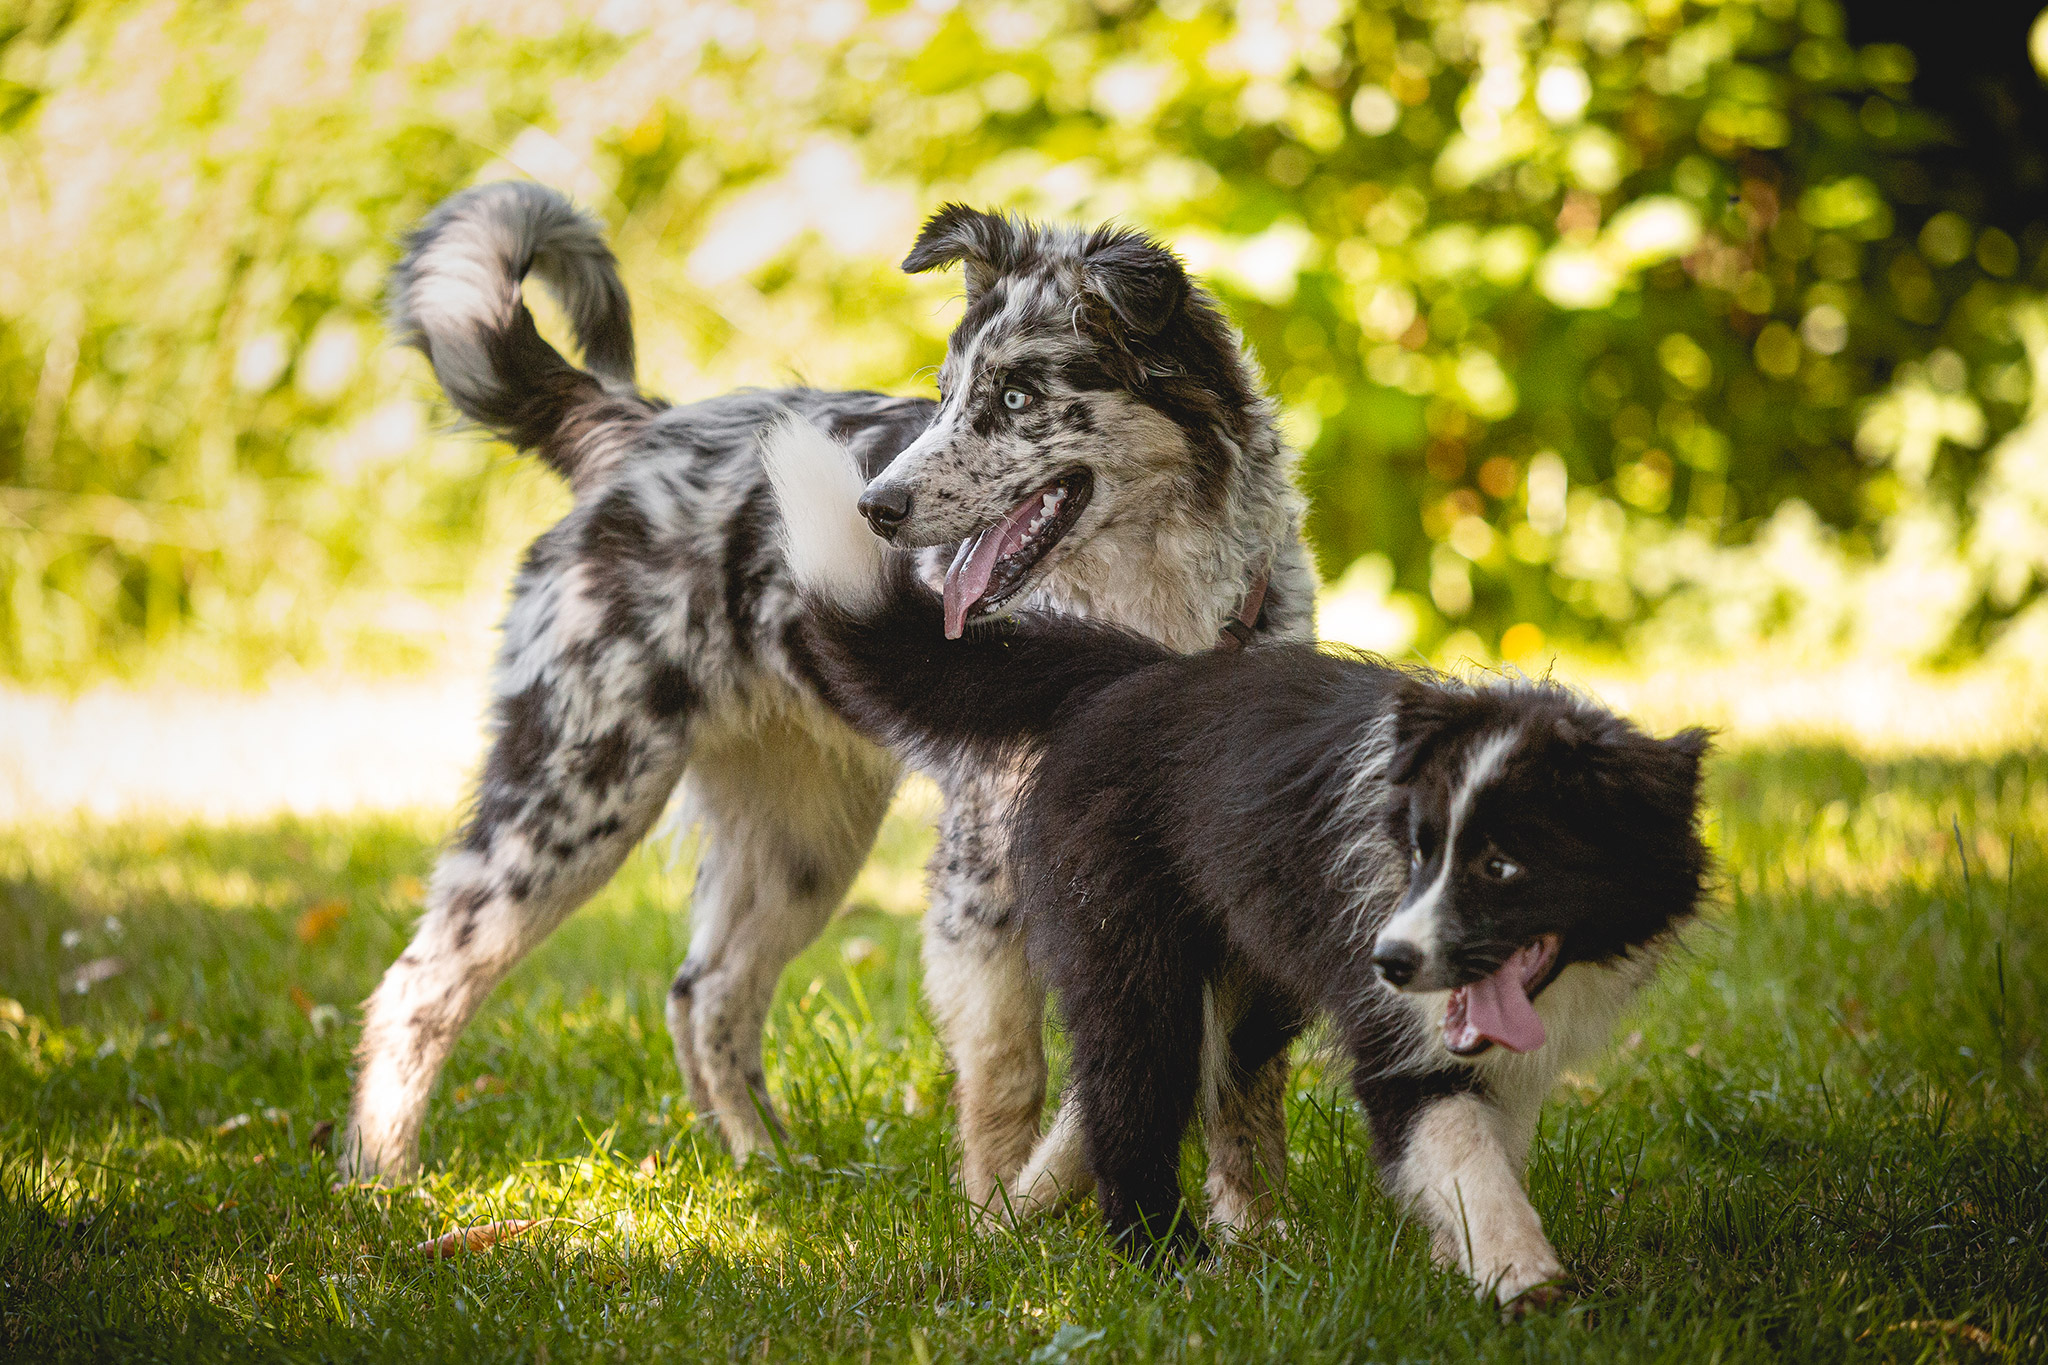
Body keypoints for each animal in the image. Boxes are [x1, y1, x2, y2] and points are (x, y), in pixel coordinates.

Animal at [770, 421, 1712, 1309]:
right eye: (1419, 849)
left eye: (1504, 867)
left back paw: (1023, 1211)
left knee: (1154, 1080)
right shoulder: (1393, 1028)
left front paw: (1465, 1262)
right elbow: (1460, 1146)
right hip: (1125, 931)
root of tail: (1134, 674)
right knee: (1131, 1088)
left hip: (1246, 968)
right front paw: (1524, 1274)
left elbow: (1486, 1139)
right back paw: (1164, 1258)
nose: (1390, 959)